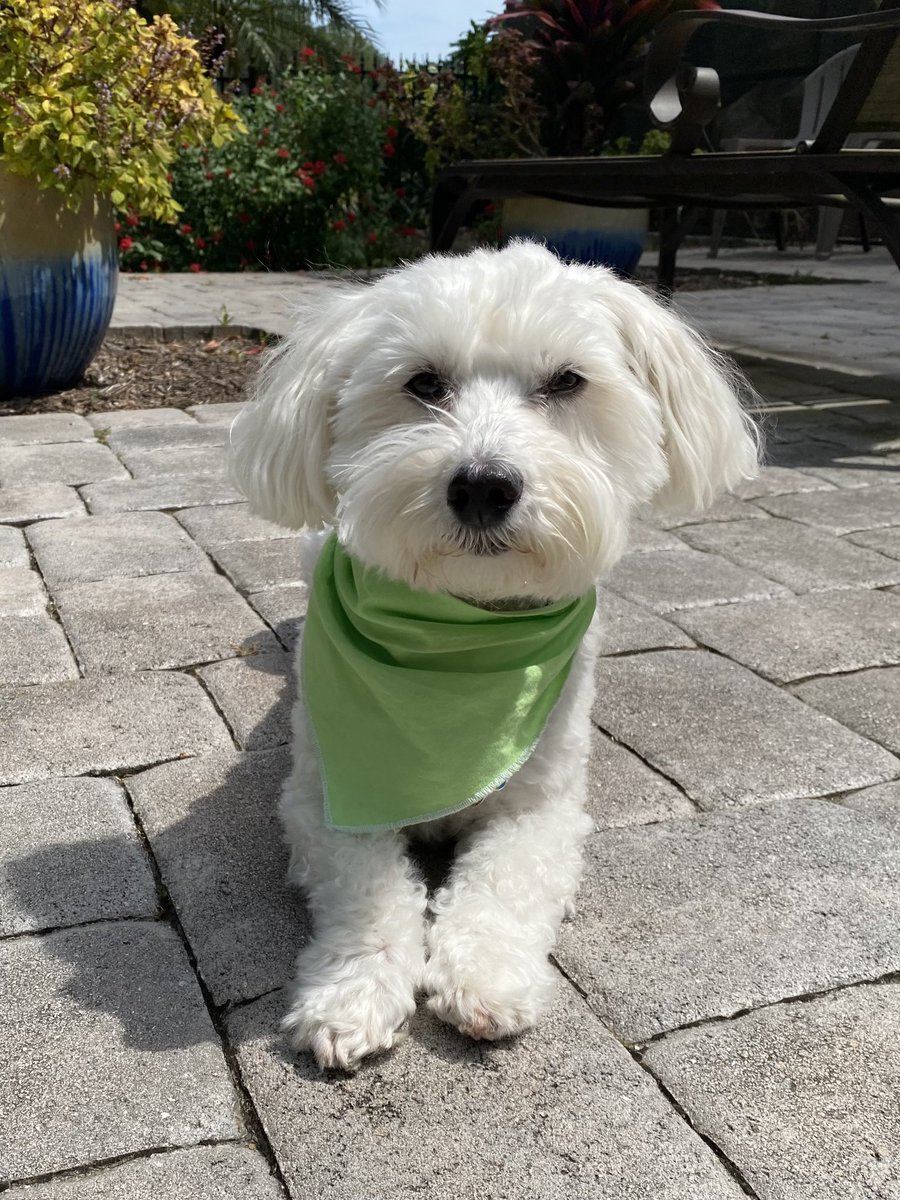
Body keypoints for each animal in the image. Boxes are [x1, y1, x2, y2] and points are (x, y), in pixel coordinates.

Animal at [226, 241, 763, 1070]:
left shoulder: (544, 808)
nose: (483, 485)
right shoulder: (325, 802)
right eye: (423, 383)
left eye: (567, 381)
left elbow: (505, 882)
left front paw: (486, 975)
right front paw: (349, 994)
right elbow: (369, 894)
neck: (461, 637)